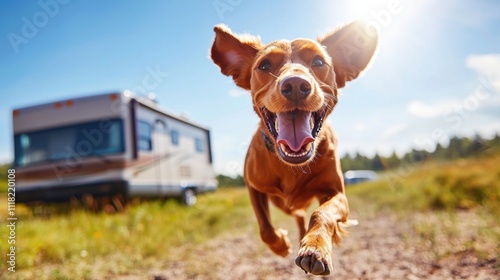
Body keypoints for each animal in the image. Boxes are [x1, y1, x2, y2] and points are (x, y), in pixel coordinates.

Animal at [209, 22, 376, 276]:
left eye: (318, 62)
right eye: (264, 65)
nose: (296, 85)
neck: (291, 166)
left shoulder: (337, 193)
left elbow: (322, 213)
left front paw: (315, 247)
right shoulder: (253, 186)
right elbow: (265, 227)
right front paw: (280, 245)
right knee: (295, 216)